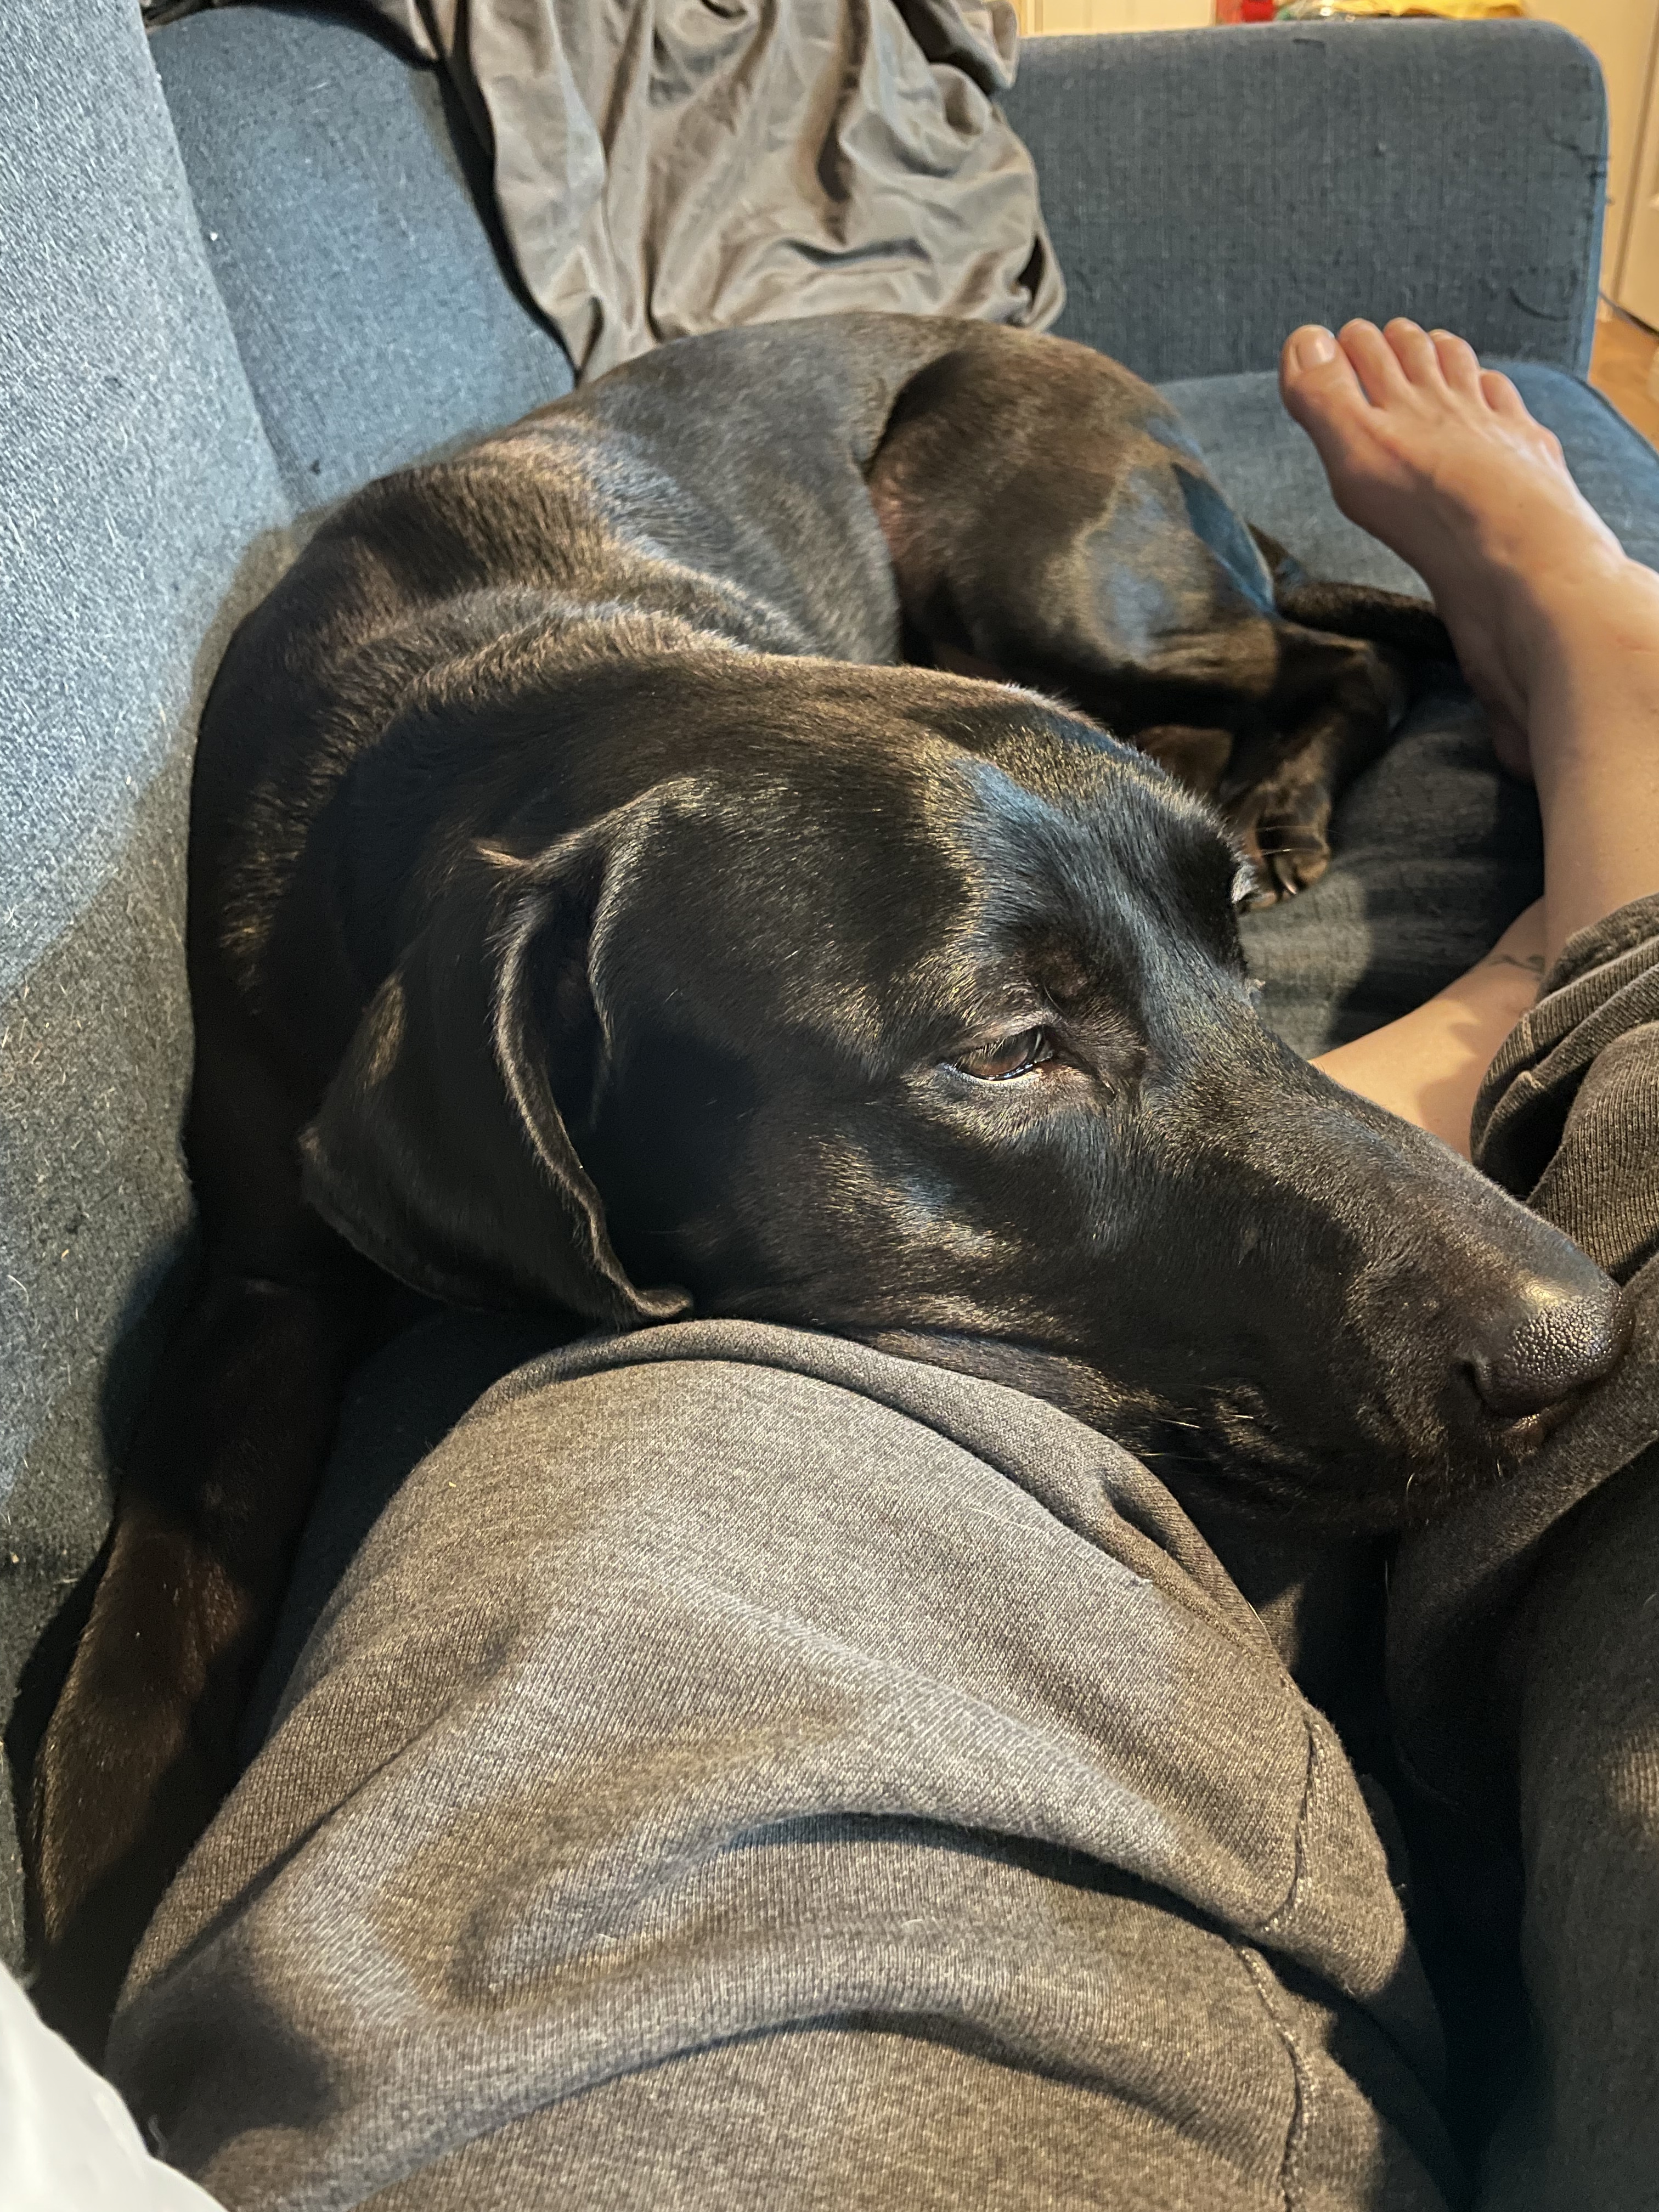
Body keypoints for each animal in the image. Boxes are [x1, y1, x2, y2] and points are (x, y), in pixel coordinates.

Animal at [29, 313, 1629, 2050]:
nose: (1593, 1341)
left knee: (1352, 658)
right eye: (1011, 1051)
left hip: (1039, 574)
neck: (493, 711)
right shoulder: (258, 1267)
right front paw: (93, 1882)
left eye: (1227, 958)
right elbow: (165, 1584)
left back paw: (1281, 793)